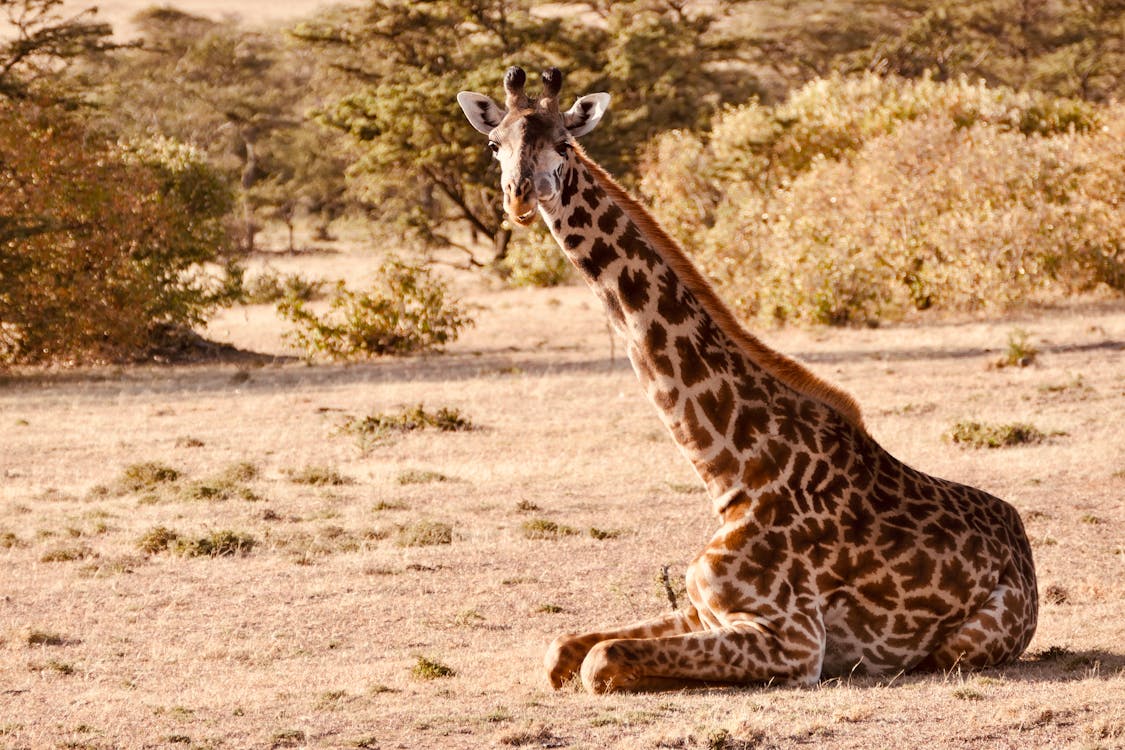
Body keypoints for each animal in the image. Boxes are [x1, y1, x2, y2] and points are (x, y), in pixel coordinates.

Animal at [454, 67, 1035, 697]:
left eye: (564, 143)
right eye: (495, 145)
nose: (520, 196)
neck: (730, 469)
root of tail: (1024, 545)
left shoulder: (793, 640)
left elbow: (600, 660)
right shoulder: (698, 609)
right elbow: (562, 648)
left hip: (963, 645)